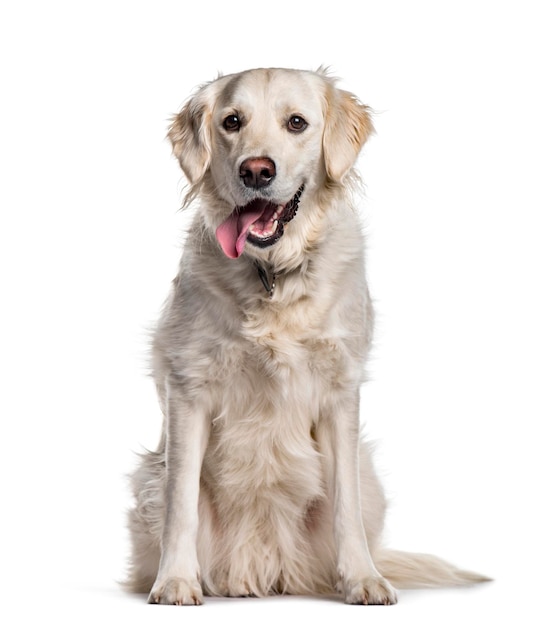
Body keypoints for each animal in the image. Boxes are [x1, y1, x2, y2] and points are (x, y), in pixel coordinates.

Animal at [125, 68, 486, 604]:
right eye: (232, 121)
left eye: (296, 123)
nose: (256, 171)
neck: (273, 274)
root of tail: (266, 573)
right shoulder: (188, 387)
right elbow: (182, 503)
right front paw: (175, 580)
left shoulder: (340, 392)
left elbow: (345, 506)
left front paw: (362, 579)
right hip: (148, 478)